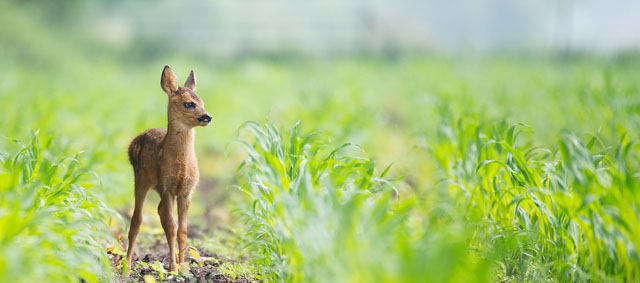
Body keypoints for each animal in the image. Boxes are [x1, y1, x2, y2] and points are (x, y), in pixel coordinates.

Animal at [121, 65, 209, 276]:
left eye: (202, 101)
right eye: (189, 104)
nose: (207, 116)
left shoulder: (187, 190)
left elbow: (183, 229)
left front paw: (183, 267)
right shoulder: (167, 186)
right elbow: (171, 226)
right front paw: (174, 270)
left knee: (159, 212)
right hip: (141, 179)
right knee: (136, 220)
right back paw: (126, 270)